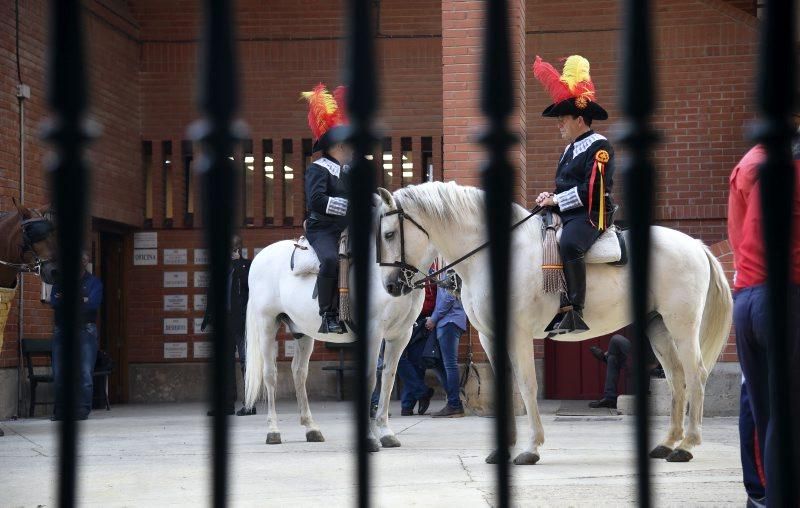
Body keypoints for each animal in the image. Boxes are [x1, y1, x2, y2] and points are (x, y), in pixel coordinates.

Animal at [244, 208, 434, 450]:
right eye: (389, 234)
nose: (394, 285)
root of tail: (260, 257)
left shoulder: (400, 335)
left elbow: (388, 378)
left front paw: (385, 432)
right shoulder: (373, 333)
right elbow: (371, 378)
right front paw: (370, 437)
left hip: (302, 331)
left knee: (299, 372)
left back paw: (311, 428)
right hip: (267, 323)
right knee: (270, 374)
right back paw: (273, 430)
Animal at [376, 182, 732, 464]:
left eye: (389, 234)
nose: (391, 287)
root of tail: (696, 245)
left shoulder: (518, 334)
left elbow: (527, 385)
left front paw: (531, 448)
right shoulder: (492, 337)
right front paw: (502, 450)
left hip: (682, 327)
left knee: (695, 375)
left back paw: (687, 445)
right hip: (658, 327)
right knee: (676, 378)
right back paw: (668, 443)